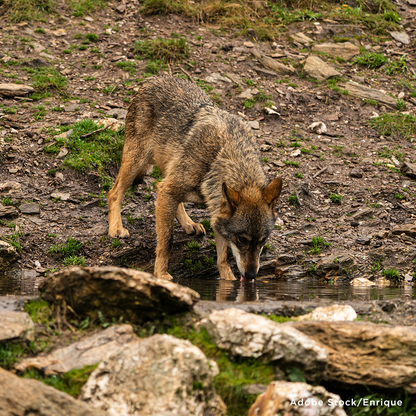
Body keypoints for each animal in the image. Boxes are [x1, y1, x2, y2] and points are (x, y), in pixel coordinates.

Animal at [107, 76, 282, 282]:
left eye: (263, 241)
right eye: (242, 239)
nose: (251, 275)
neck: (222, 157)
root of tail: (154, 79)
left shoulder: (215, 209)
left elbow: (222, 255)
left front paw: (227, 278)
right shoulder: (169, 190)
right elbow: (167, 241)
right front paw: (161, 274)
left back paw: (189, 224)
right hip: (136, 162)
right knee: (114, 192)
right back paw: (116, 228)